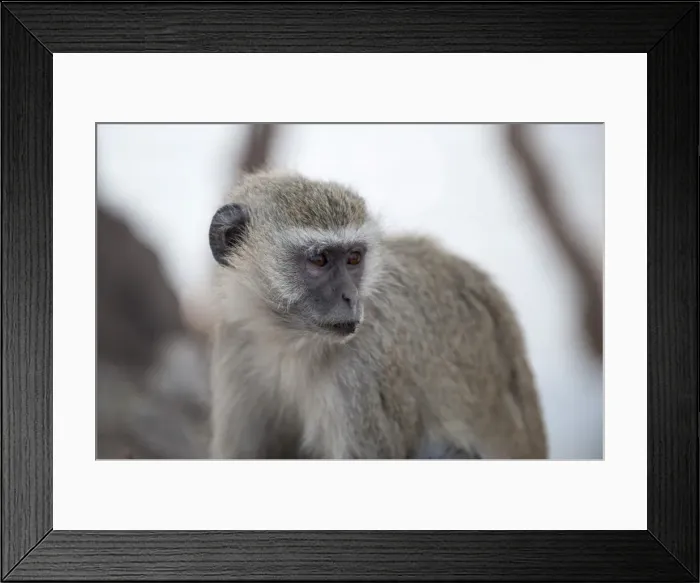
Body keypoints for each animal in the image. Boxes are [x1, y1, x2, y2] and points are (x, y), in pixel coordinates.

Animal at [207, 170, 549, 460]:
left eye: (354, 258)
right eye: (319, 259)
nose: (350, 297)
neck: (290, 343)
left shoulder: (364, 368)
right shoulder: (239, 341)